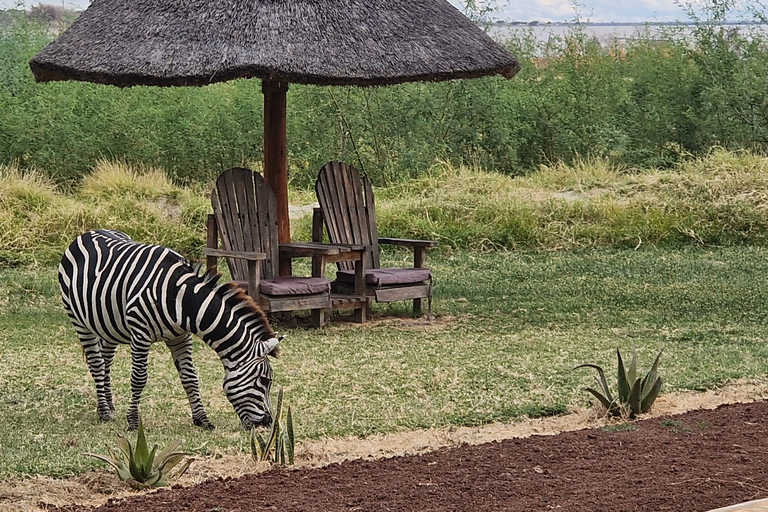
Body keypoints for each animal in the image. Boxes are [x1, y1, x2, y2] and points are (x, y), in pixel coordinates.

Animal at [59, 230, 282, 430]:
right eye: (264, 381)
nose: (268, 423)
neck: (180, 298)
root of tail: (87, 233)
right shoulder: (140, 335)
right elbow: (139, 378)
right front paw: (133, 422)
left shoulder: (181, 337)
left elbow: (190, 377)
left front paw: (202, 419)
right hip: (78, 320)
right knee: (96, 363)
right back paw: (104, 411)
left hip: (108, 325)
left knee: (106, 360)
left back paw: (109, 405)